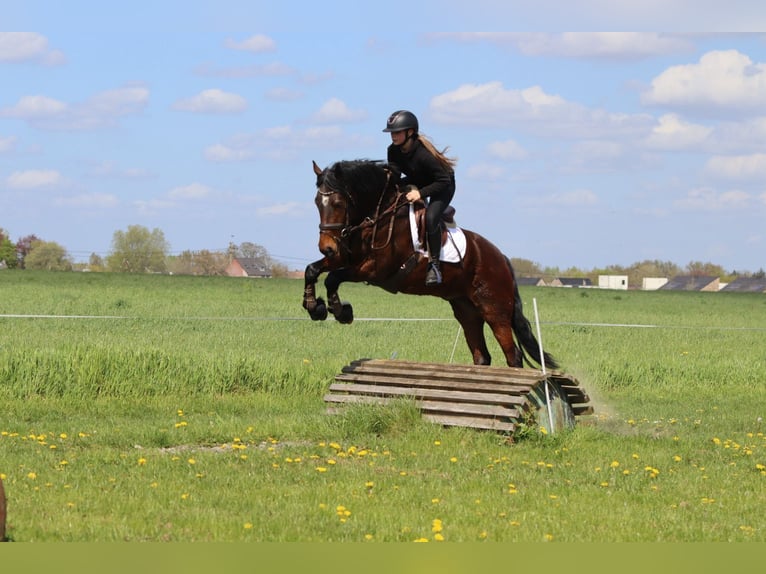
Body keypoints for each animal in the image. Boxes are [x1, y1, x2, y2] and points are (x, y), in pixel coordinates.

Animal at [302, 159, 558, 370]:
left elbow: (333, 277)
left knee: (513, 355)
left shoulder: (376, 269)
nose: (326, 247)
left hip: (495, 311)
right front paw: (315, 306)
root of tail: (502, 258)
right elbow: (312, 270)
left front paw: (339, 310)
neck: (379, 216)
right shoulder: (346, 258)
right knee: (481, 355)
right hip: (466, 311)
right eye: (316, 202)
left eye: (337, 203)